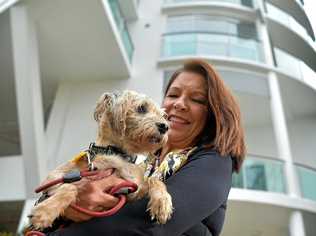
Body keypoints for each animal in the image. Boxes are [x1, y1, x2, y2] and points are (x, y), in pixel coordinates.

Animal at [29, 90, 173, 230]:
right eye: (142, 108)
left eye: (163, 115)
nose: (165, 127)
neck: (117, 153)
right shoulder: (52, 182)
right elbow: (70, 187)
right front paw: (44, 212)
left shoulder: (132, 191)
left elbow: (153, 180)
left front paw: (162, 203)